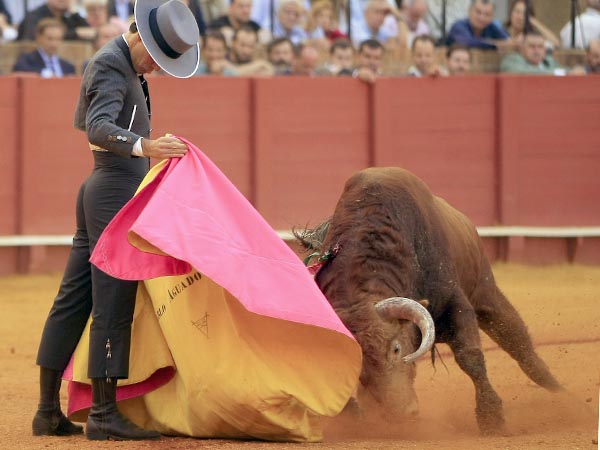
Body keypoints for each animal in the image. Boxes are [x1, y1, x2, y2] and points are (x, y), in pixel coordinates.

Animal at [296, 167, 564, 434]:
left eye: (396, 348)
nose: (399, 415)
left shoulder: (457, 304)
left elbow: (470, 356)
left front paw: (491, 418)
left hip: (486, 293)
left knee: (518, 342)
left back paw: (561, 394)